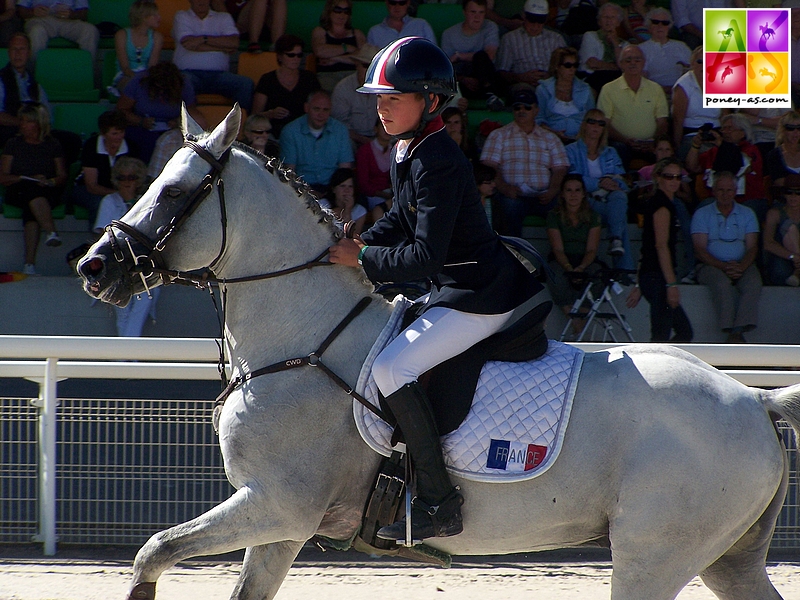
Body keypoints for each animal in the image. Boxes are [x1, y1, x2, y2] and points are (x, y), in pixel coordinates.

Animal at [78, 106, 800, 600]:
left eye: (174, 192)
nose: (94, 267)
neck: (301, 340)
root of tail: (754, 400)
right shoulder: (279, 525)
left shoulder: (278, 503)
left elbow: (153, 550)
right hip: (727, 559)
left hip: (655, 555)